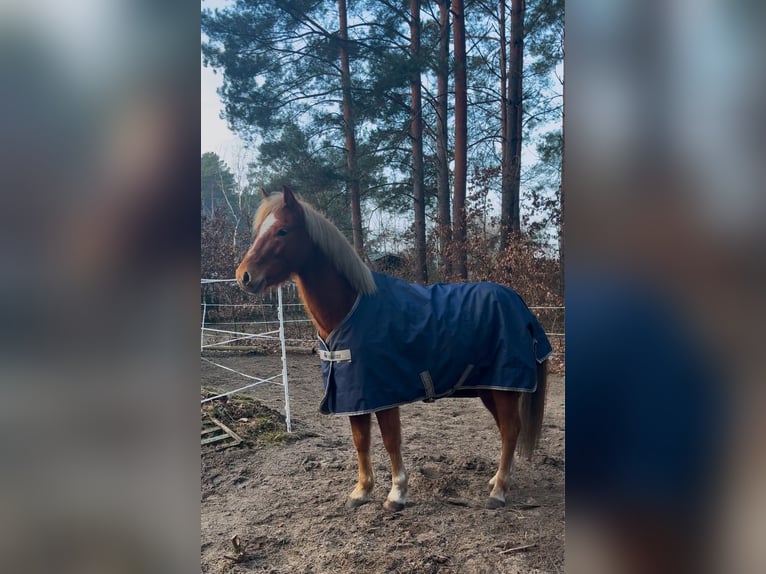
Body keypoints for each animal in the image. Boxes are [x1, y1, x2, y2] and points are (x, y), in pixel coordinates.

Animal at [236, 186, 552, 512]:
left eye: (282, 231)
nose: (244, 276)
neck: (350, 309)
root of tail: (519, 303)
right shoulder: (354, 395)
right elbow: (360, 440)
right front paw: (361, 491)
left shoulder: (383, 394)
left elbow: (390, 440)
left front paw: (397, 494)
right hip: (490, 388)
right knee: (505, 429)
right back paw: (496, 481)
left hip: (504, 387)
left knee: (511, 430)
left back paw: (498, 491)